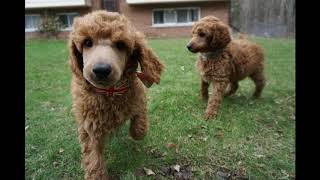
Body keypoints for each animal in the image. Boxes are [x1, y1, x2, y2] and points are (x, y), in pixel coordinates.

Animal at [70, 10, 165, 179]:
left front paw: (138, 131)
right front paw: (96, 175)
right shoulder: (88, 126)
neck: (110, 91)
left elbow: (139, 125)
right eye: (87, 42)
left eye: (121, 45)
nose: (101, 70)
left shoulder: (139, 97)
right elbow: (93, 157)